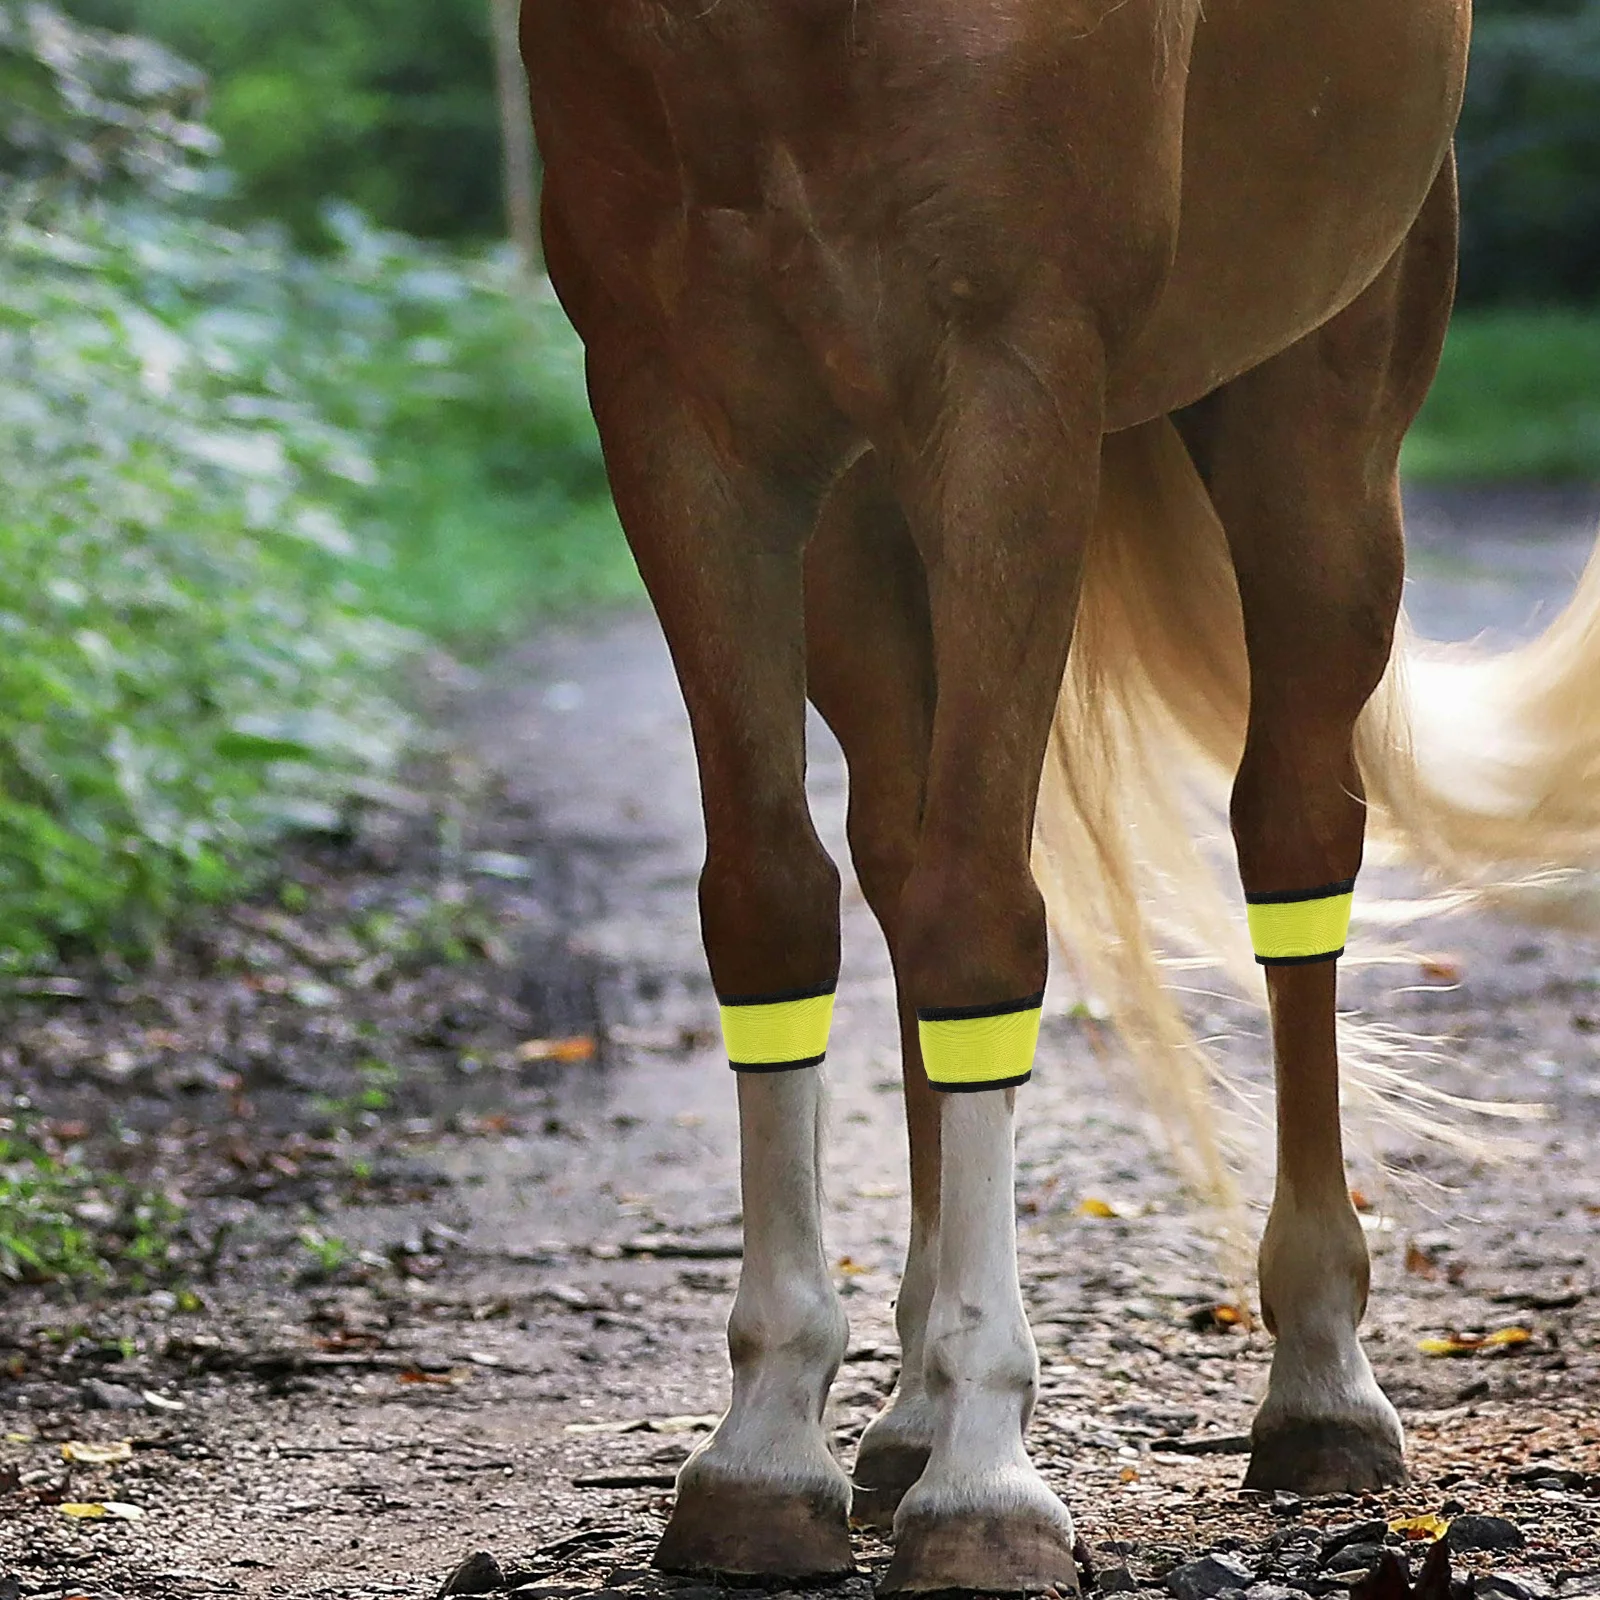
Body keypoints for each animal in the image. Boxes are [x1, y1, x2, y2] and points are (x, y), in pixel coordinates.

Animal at [518, 2, 1600, 1592]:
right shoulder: (675, 407)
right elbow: (769, 906)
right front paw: (768, 1443)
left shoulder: (1006, 387)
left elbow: (984, 920)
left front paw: (985, 1480)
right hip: (864, 519)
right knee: (897, 855)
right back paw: (902, 1417)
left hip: (1314, 432)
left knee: (1290, 828)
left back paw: (1319, 1388)